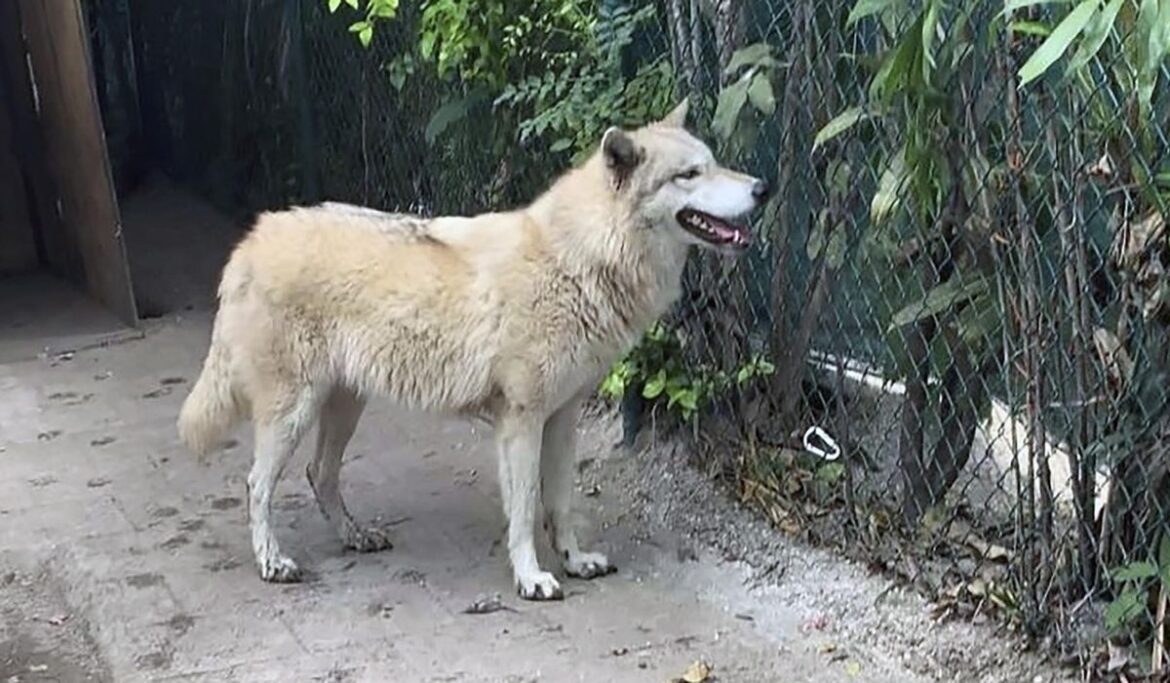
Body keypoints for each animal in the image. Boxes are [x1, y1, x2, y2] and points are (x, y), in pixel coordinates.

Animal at [177, 100, 769, 600]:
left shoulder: (563, 419)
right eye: (689, 174)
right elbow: (525, 510)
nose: (762, 188)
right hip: (292, 413)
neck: (579, 260)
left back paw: (356, 536)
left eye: (714, 163)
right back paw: (273, 563)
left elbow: (561, 502)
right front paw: (532, 578)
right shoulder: (521, 422)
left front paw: (575, 561)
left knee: (318, 475)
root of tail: (253, 238)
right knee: (257, 485)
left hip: (344, 407)